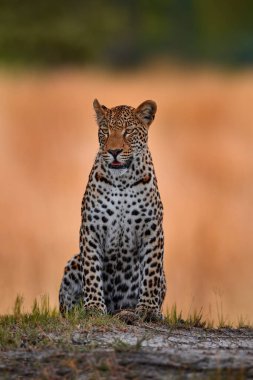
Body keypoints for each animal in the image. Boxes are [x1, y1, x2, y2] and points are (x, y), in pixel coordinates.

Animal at [59, 99, 166, 322]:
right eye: (105, 131)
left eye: (128, 132)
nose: (114, 151)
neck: (122, 182)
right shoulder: (90, 229)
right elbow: (91, 271)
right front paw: (93, 307)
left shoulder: (152, 229)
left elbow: (151, 272)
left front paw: (148, 309)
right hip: (73, 262)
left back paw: (130, 312)